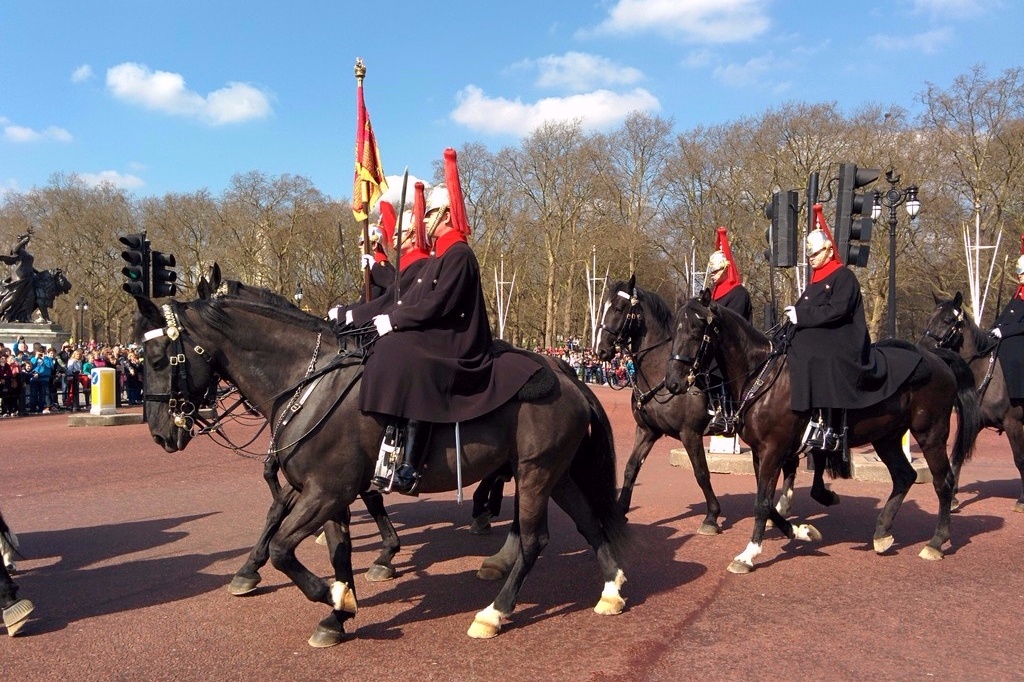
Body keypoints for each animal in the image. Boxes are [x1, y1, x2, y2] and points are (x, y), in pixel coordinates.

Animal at [132, 292, 626, 643]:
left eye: (156, 359)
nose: (159, 434)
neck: (310, 383)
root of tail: (565, 373)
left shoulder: (327, 491)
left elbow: (282, 549)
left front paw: (332, 596)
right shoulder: (324, 494)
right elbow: (335, 552)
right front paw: (337, 614)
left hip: (535, 473)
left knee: (534, 540)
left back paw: (493, 613)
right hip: (555, 474)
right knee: (588, 524)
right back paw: (611, 591)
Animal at [663, 288, 983, 569]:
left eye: (695, 331)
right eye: (674, 332)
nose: (672, 383)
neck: (762, 376)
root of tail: (937, 358)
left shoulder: (774, 449)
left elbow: (763, 502)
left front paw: (748, 554)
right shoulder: (760, 451)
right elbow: (767, 502)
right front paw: (800, 531)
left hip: (931, 434)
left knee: (943, 482)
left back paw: (936, 542)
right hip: (887, 437)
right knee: (905, 476)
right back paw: (882, 533)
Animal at [921, 290, 1024, 509]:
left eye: (948, 320)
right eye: (929, 318)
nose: (922, 348)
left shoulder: (1013, 423)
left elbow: (1020, 459)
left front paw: (1021, 500)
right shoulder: (974, 421)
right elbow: (957, 456)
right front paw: (952, 497)